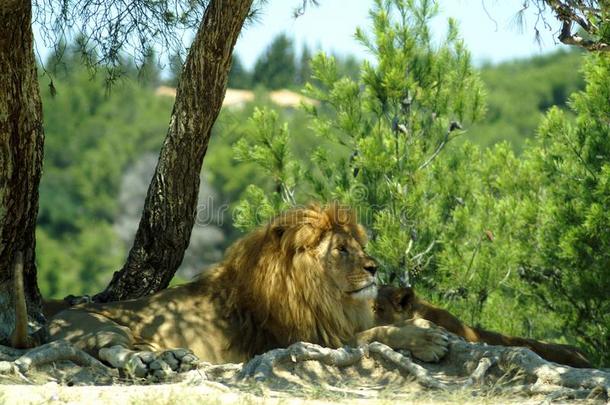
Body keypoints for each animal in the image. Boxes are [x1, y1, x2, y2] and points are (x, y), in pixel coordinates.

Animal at [46, 205, 446, 376]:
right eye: (341, 249)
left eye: (359, 246)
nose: (374, 268)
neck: (323, 296)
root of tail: (51, 317)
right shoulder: (306, 339)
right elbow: (377, 332)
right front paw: (428, 339)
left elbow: (377, 328)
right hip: (98, 325)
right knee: (112, 351)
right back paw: (151, 363)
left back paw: (172, 359)